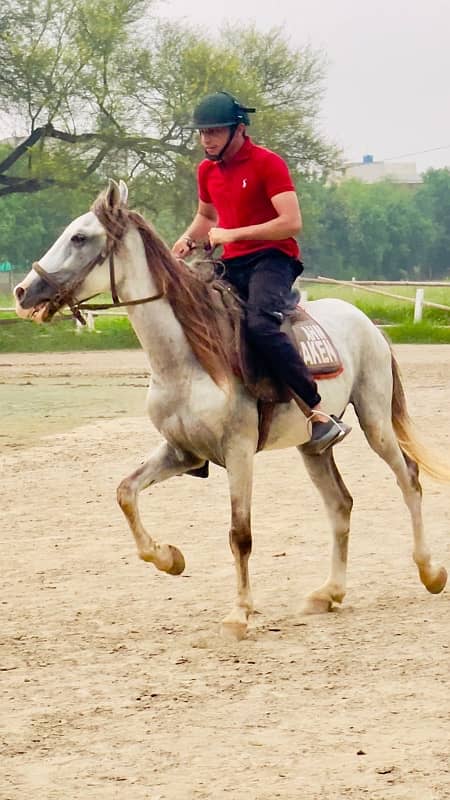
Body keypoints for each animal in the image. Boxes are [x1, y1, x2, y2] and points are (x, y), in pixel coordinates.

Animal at [14, 180, 450, 636]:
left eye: (80, 237)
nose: (23, 292)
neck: (188, 358)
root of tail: (364, 321)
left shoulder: (238, 451)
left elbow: (240, 533)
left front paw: (239, 613)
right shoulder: (182, 452)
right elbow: (126, 493)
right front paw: (169, 557)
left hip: (375, 420)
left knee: (409, 479)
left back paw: (430, 571)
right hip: (312, 447)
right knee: (340, 505)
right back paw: (328, 593)